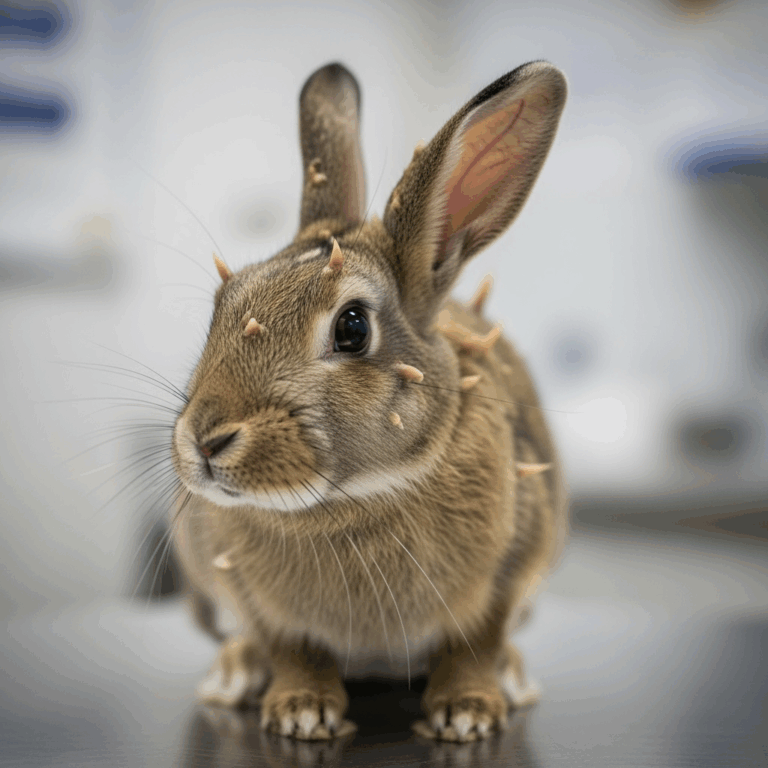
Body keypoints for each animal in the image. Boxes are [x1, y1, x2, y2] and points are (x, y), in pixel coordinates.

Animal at [170, 60, 568, 743]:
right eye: (223, 305)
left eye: (352, 328)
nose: (206, 440)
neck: (351, 501)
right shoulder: (255, 598)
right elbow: (290, 647)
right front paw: (301, 712)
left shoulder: (510, 570)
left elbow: (477, 643)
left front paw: (467, 714)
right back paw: (236, 676)